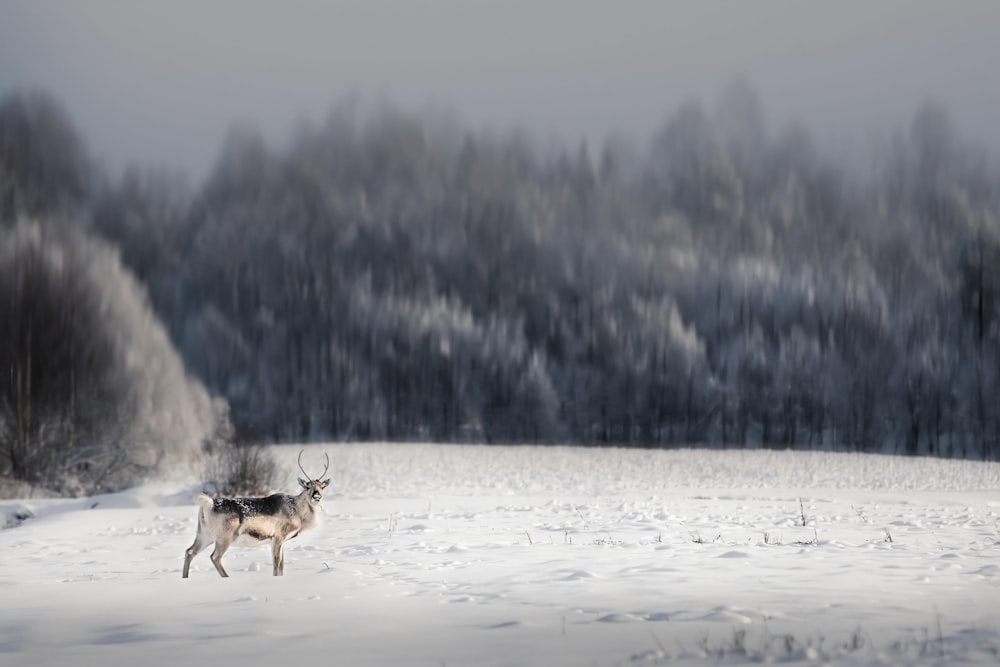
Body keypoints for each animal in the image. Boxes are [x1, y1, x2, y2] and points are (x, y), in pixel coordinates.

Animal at [182, 448, 330, 580]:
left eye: (322, 486)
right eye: (307, 486)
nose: (316, 496)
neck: (298, 513)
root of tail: (209, 504)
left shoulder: (276, 540)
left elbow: (281, 565)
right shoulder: (279, 536)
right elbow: (277, 564)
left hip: (204, 534)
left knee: (189, 551)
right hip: (225, 536)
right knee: (214, 557)